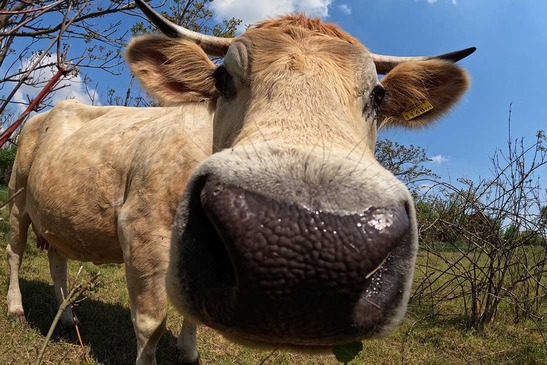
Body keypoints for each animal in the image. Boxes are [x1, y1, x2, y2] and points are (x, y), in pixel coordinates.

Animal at [5, 0, 476, 362]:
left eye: (377, 95)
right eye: (222, 77)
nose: (308, 241)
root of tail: (52, 109)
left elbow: (191, 313)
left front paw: (189, 352)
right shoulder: (142, 229)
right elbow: (150, 324)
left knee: (57, 257)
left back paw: (67, 315)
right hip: (16, 198)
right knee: (15, 251)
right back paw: (15, 308)